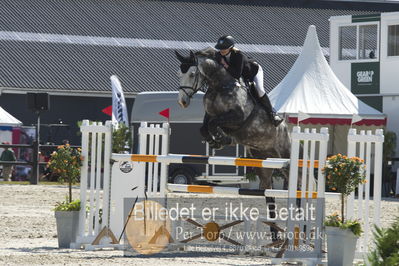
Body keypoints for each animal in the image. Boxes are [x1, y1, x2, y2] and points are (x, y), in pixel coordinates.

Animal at [175, 48, 290, 191]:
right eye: (179, 74)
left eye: (191, 74)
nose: (182, 102)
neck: (220, 85)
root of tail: (286, 128)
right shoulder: (211, 114)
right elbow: (204, 128)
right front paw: (214, 141)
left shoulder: (238, 117)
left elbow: (213, 124)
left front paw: (223, 139)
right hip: (262, 158)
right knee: (266, 182)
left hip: (285, 155)